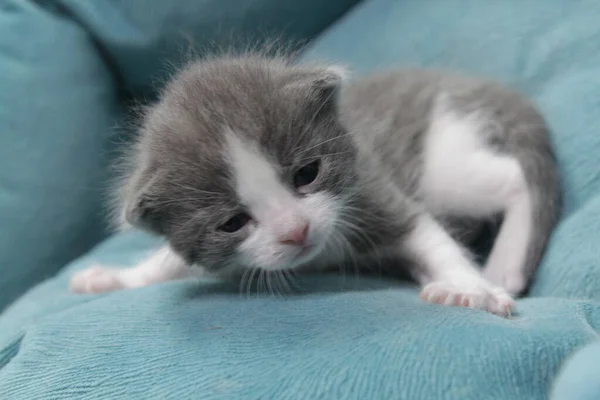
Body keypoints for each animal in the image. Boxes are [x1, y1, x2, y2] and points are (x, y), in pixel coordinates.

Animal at [71, 54, 564, 316]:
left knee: (513, 177)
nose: (296, 231)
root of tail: (470, 86)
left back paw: (503, 265)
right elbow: (167, 263)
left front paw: (469, 288)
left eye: (307, 173)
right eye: (232, 223)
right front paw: (116, 278)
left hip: (441, 159)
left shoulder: (372, 187)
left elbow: (429, 237)